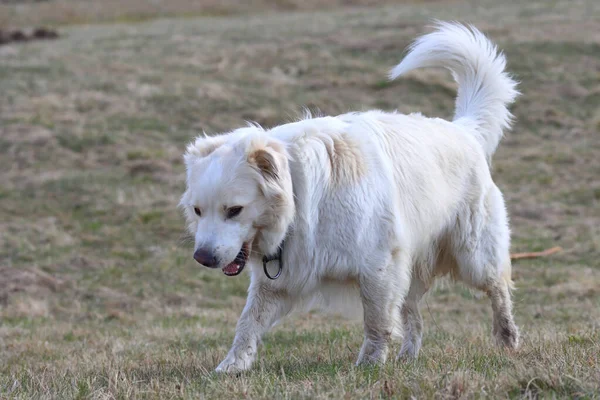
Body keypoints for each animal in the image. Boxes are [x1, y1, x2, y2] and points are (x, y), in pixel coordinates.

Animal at [179, 21, 520, 372]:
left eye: (234, 210)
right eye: (198, 211)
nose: (202, 258)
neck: (298, 197)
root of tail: (463, 130)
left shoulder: (378, 266)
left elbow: (377, 322)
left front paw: (370, 364)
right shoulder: (276, 281)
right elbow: (247, 323)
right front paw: (232, 365)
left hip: (474, 255)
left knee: (498, 289)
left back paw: (507, 339)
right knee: (414, 316)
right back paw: (408, 357)